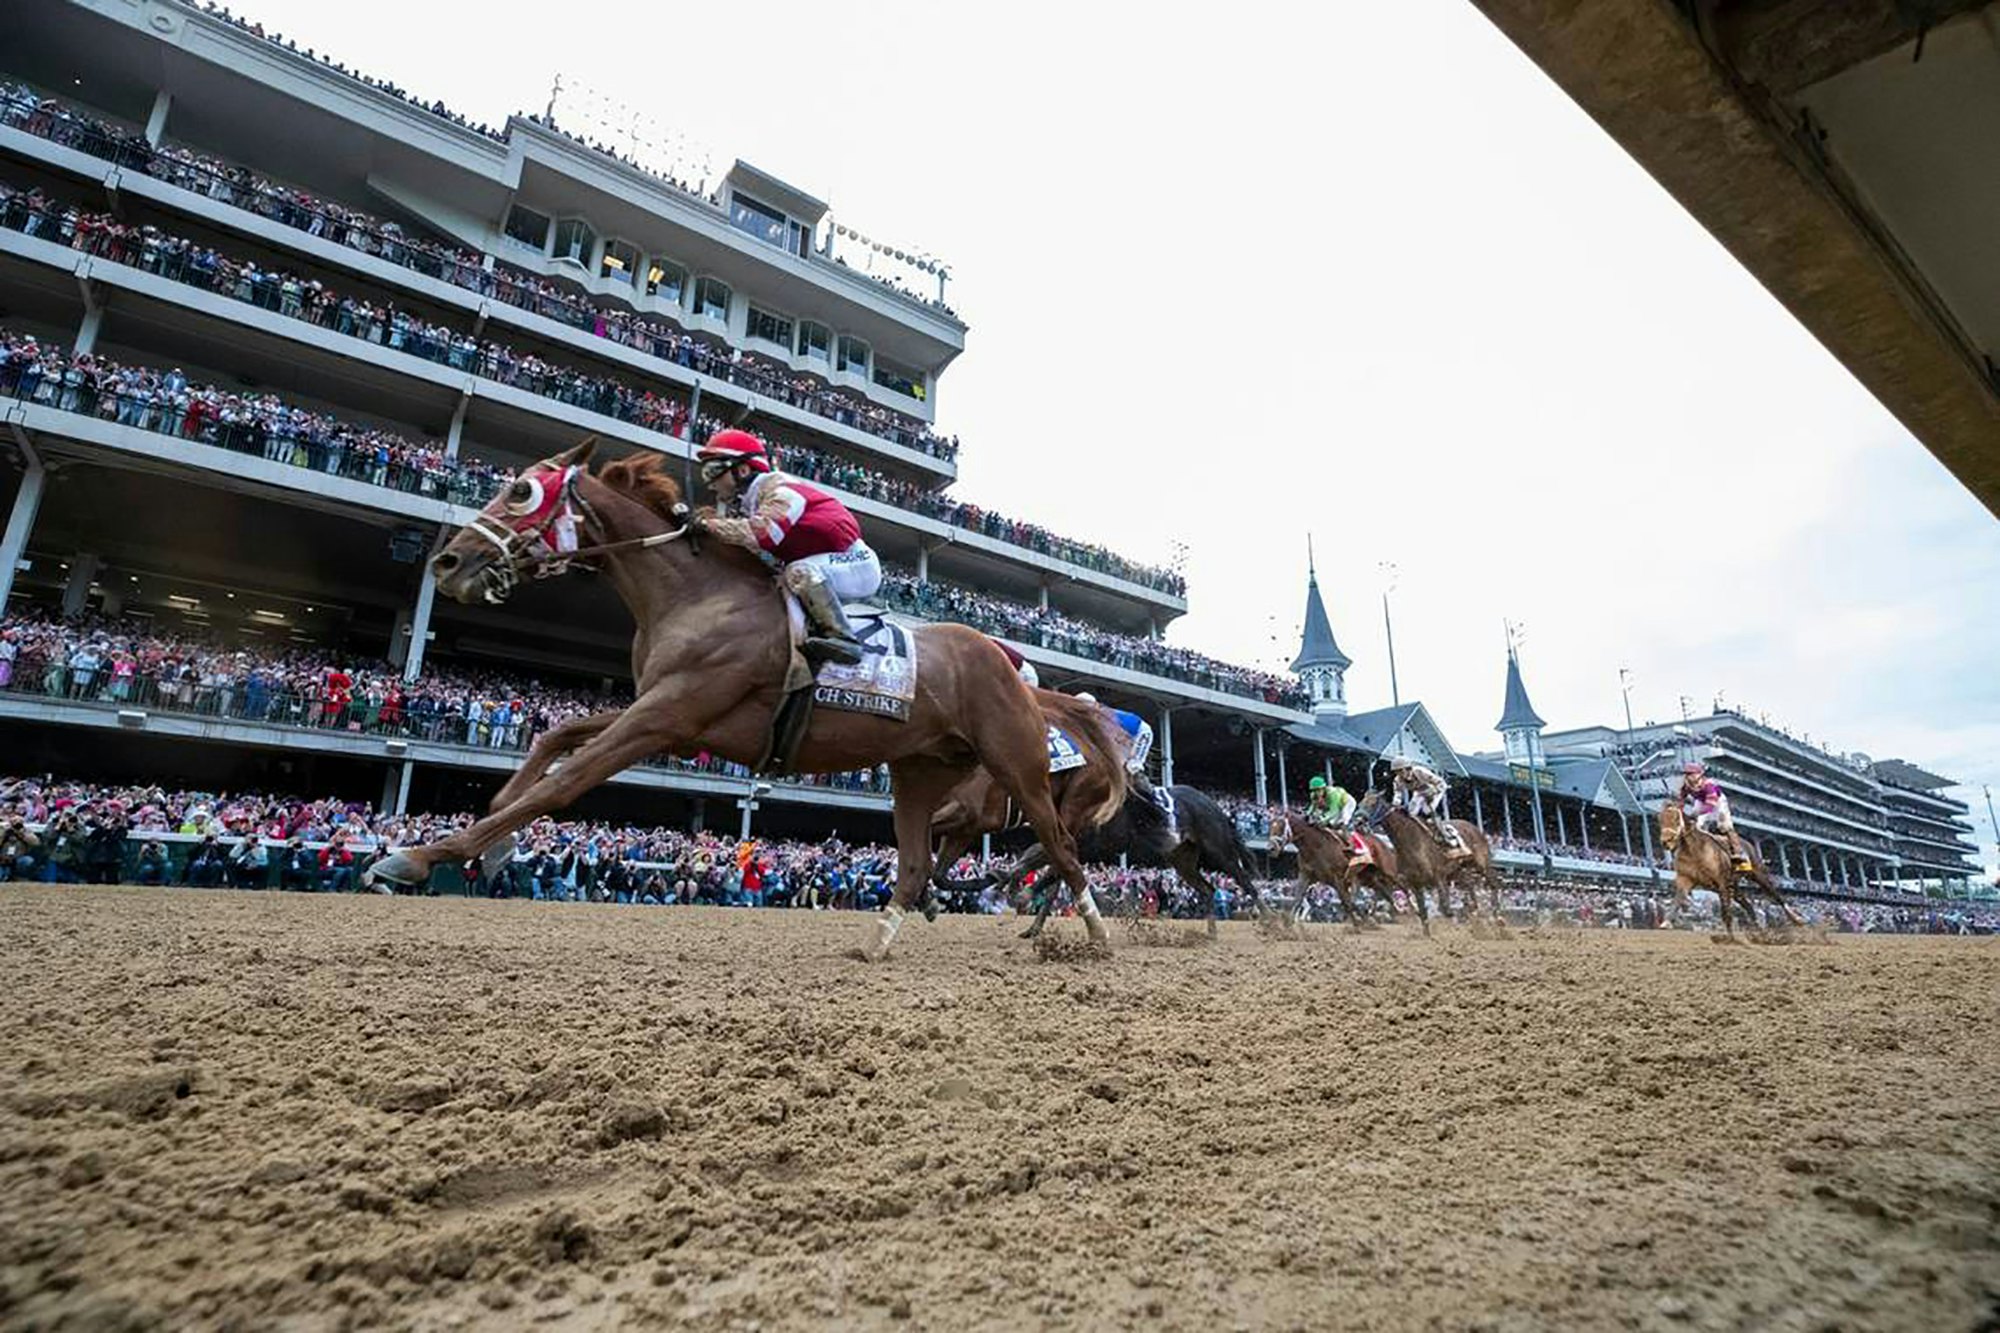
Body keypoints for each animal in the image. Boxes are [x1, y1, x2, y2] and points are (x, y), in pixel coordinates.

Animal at [368, 444, 1136, 956]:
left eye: (522, 492)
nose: (449, 562)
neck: (696, 593)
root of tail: (1009, 666)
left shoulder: (666, 715)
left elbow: (567, 781)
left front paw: (422, 854)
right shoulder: (665, 711)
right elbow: (554, 737)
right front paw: (495, 837)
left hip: (1016, 767)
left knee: (1060, 847)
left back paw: (1095, 934)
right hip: (920, 770)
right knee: (920, 861)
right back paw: (881, 937)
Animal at [1264, 804, 1408, 928]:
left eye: (1281, 827)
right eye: (1270, 827)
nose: (1271, 848)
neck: (1315, 846)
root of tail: (1381, 841)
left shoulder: (1338, 878)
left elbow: (1347, 902)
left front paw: (1359, 923)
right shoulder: (1306, 875)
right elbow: (1297, 899)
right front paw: (1287, 924)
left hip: (1389, 872)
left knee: (1402, 886)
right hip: (1369, 878)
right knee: (1385, 893)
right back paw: (1396, 910)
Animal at [1648, 800, 1808, 932]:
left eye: (1676, 818)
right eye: (1659, 819)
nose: (1666, 841)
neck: (1694, 851)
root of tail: (1748, 843)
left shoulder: (1721, 882)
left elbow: (1725, 911)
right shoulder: (1685, 879)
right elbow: (1677, 900)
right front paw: (1666, 922)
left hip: (1758, 875)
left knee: (1776, 895)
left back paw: (1797, 919)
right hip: (1734, 885)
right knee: (1747, 903)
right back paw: (1758, 928)